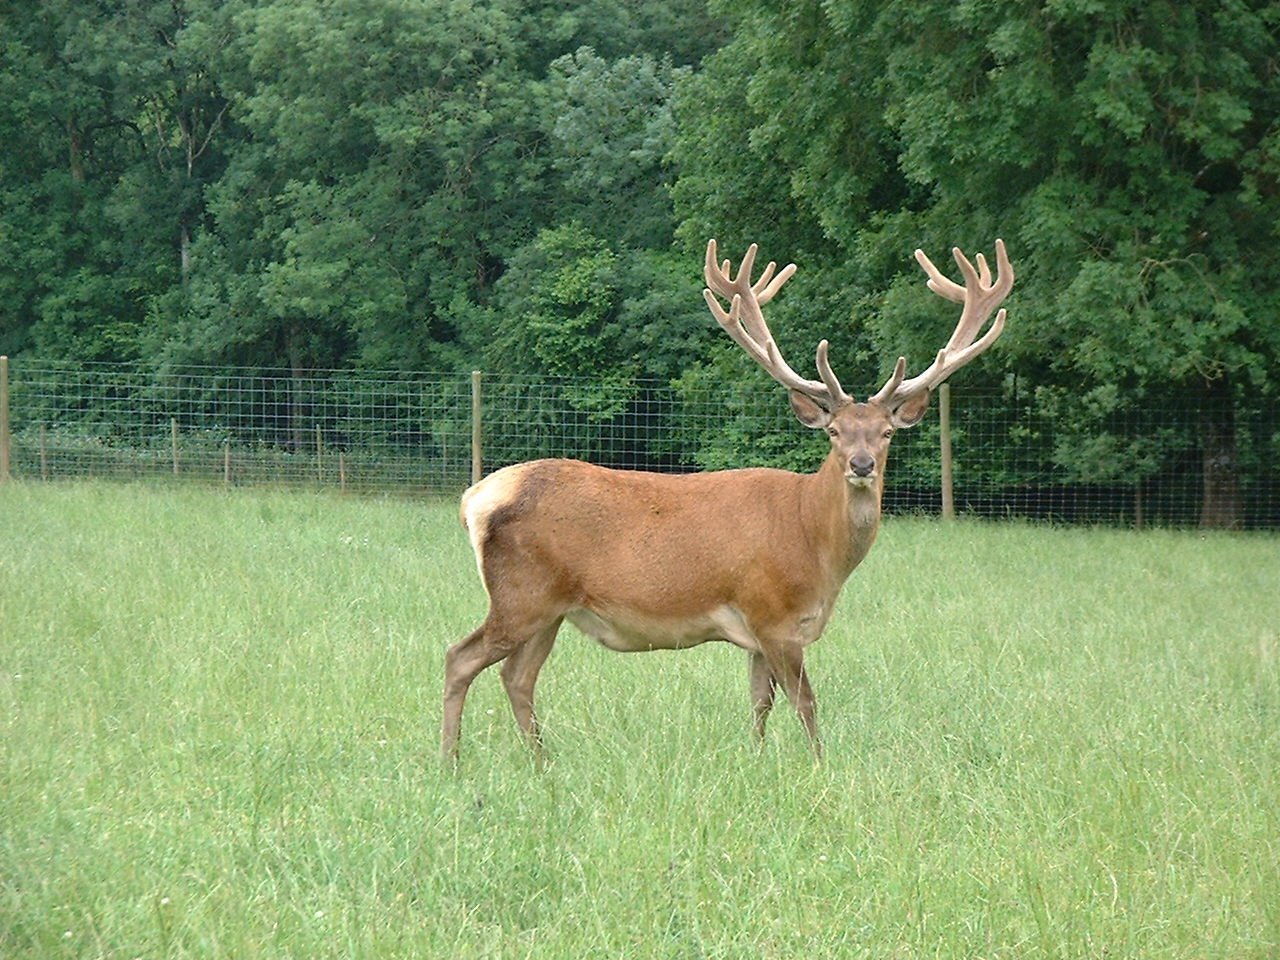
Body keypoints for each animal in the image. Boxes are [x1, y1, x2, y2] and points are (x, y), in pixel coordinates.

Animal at [443, 238, 1013, 760]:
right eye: (834, 431)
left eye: (887, 433)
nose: (861, 464)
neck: (817, 550)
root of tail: (475, 498)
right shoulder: (772, 613)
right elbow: (805, 703)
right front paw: (820, 764)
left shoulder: (761, 632)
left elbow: (760, 702)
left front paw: (756, 759)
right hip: (522, 593)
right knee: (460, 657)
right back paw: (452, 760)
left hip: (551, 608)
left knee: (517, 677)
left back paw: (542, 761)